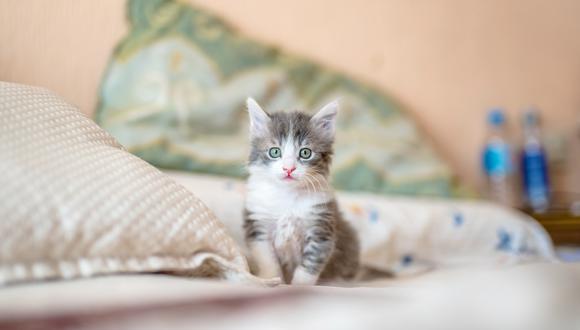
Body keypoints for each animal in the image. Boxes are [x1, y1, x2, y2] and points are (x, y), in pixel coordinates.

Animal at [240, 96, 358, 284]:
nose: (289, 169)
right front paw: (271, 280)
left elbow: (309, 266)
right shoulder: (258, 225)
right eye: (275, 152)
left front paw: (298, 286)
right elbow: (268, 260)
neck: (287, 195)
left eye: (305, 153)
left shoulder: (321, 229)